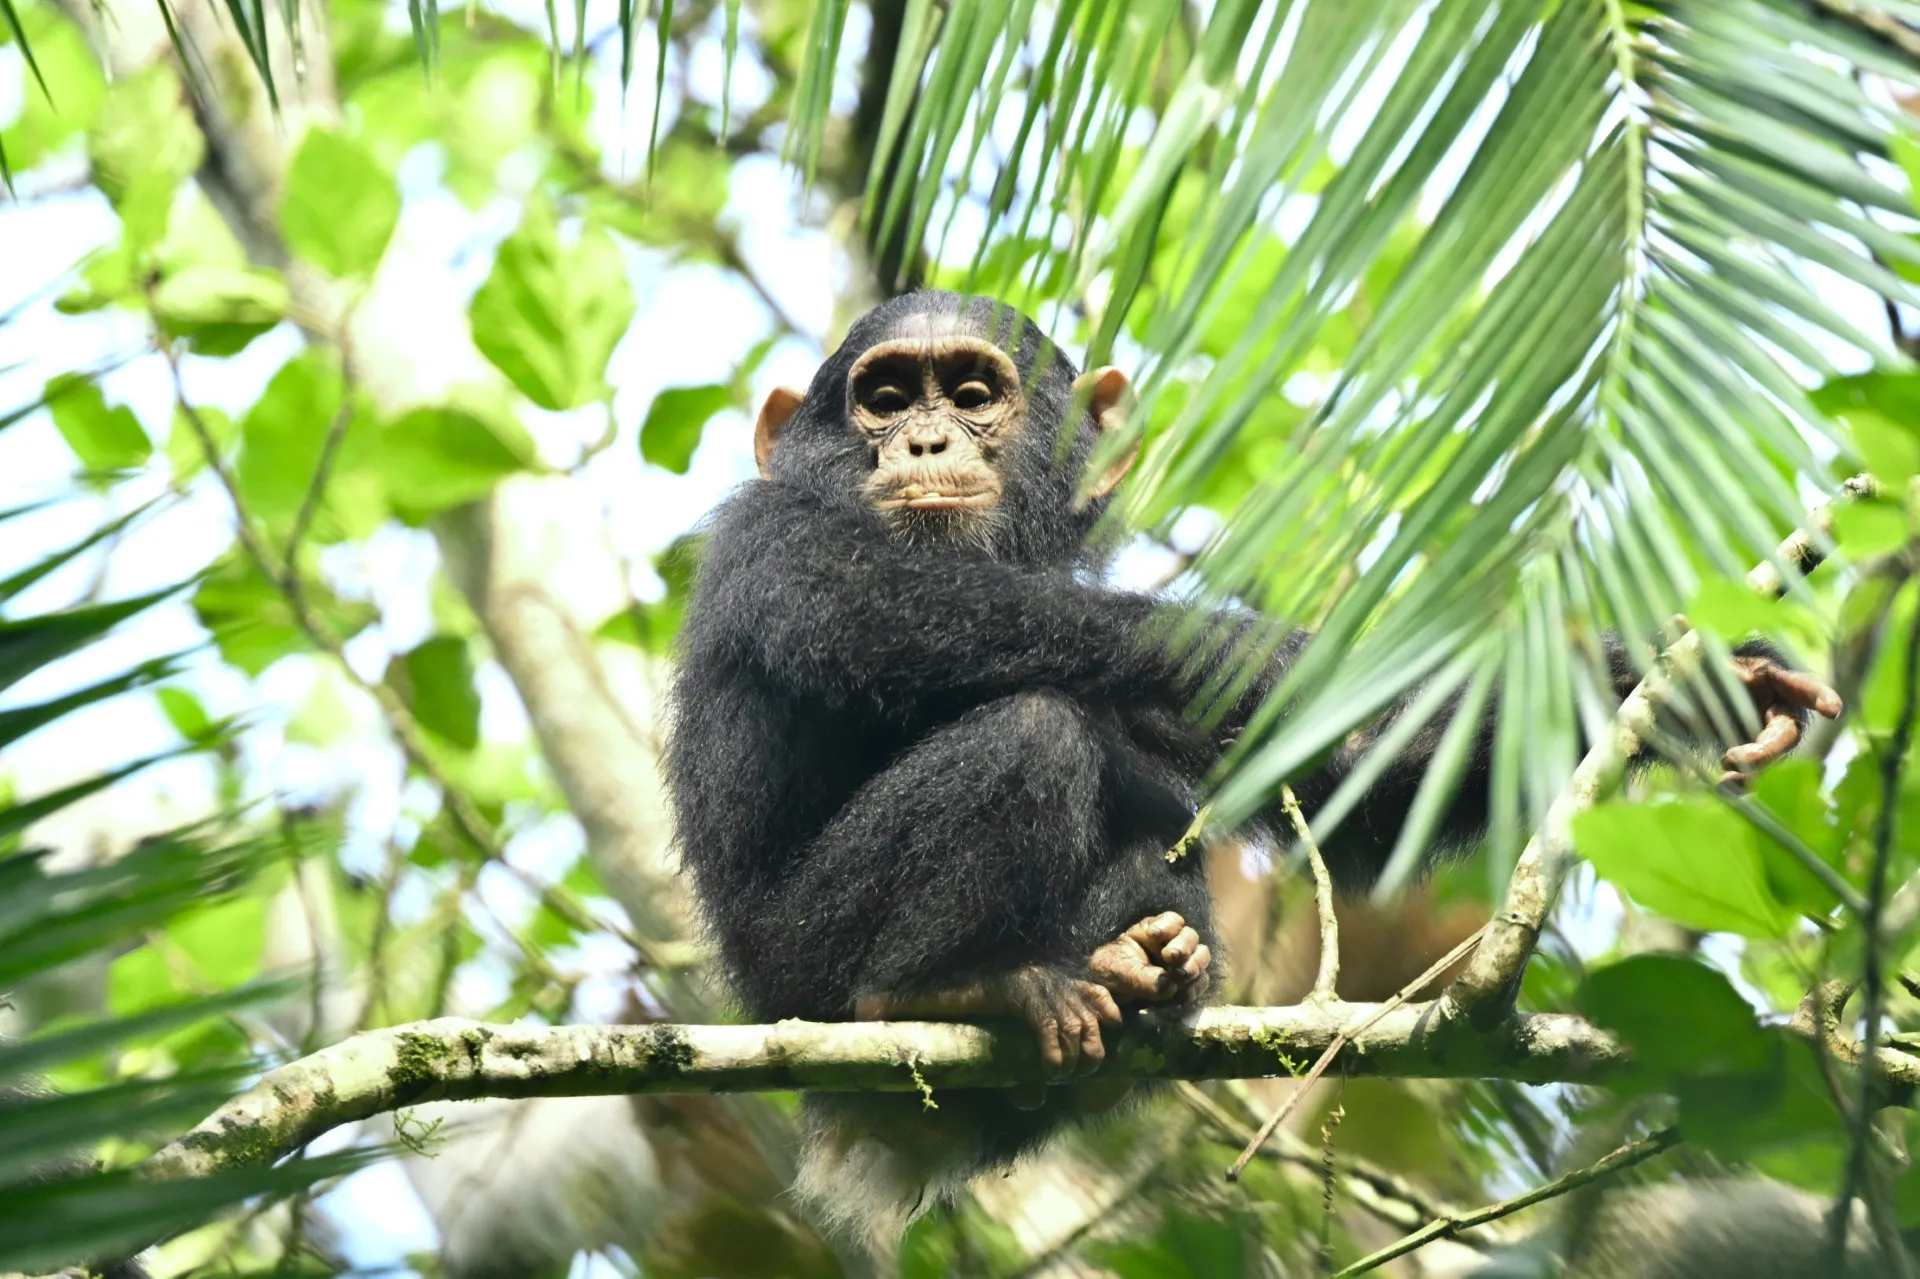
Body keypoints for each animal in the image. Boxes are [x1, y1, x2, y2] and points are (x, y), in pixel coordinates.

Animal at [662, 290, 1841, 1248]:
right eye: (883, 395)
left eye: (973, 391)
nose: (923, 436)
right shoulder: (782, 542)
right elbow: (950, 620)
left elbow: (1346, 771)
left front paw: (1686, 683)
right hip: (802, 969)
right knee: (1033, 733)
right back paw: (951, 982)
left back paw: (1143, 964)